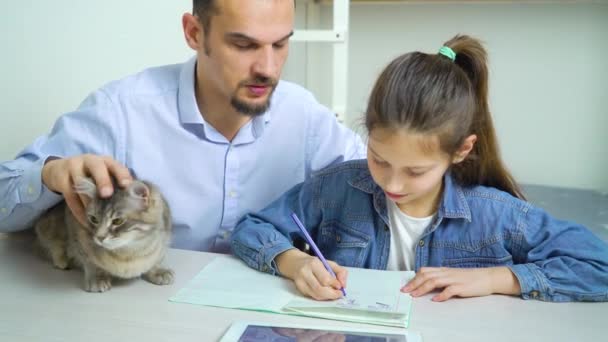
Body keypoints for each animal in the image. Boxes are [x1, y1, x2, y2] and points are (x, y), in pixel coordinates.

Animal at [35, 178, 173, 292]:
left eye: (117, 221)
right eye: (94, 219)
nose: (99, 237)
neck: (129, 253)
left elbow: (155, 260)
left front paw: (157, 271)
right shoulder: (77, 236)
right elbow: (91, 263)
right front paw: (97, 278)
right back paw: (62, 260)